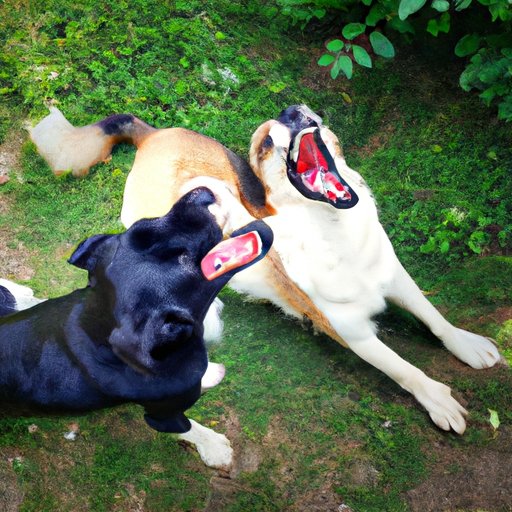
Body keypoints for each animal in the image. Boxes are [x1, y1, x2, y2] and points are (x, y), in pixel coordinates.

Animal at [0, 186, 273, 468]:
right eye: (186, 260)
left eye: (145, 225)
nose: (202, 193)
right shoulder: (164, 414)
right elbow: (186, 426)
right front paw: (213, 446)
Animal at [30, 105, 502, 434]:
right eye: (265, 146)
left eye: (303, 111)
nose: (293, 113)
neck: (335, 232)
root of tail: (153, 135)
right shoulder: (349, 330)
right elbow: (402, 368)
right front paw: (437, 399)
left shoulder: (394, 275)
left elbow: (432, 314)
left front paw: (466, 344)